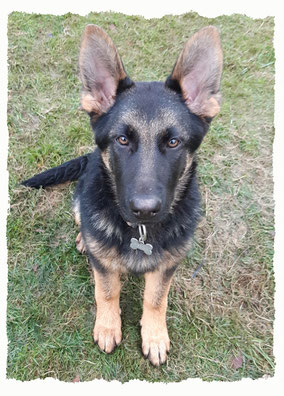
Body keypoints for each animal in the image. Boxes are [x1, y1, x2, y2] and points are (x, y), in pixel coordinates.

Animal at [21, 24, 222, 366]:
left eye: (173, 142)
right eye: (123, 139)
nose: (145, 210)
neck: (140, 232)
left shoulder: (167, 266)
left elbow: (156, 299)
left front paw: (154, 335)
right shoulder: (104, 269)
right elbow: (106, 291)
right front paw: (107, 326)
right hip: (80, 200)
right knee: (83, 224)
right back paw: (83, 240)